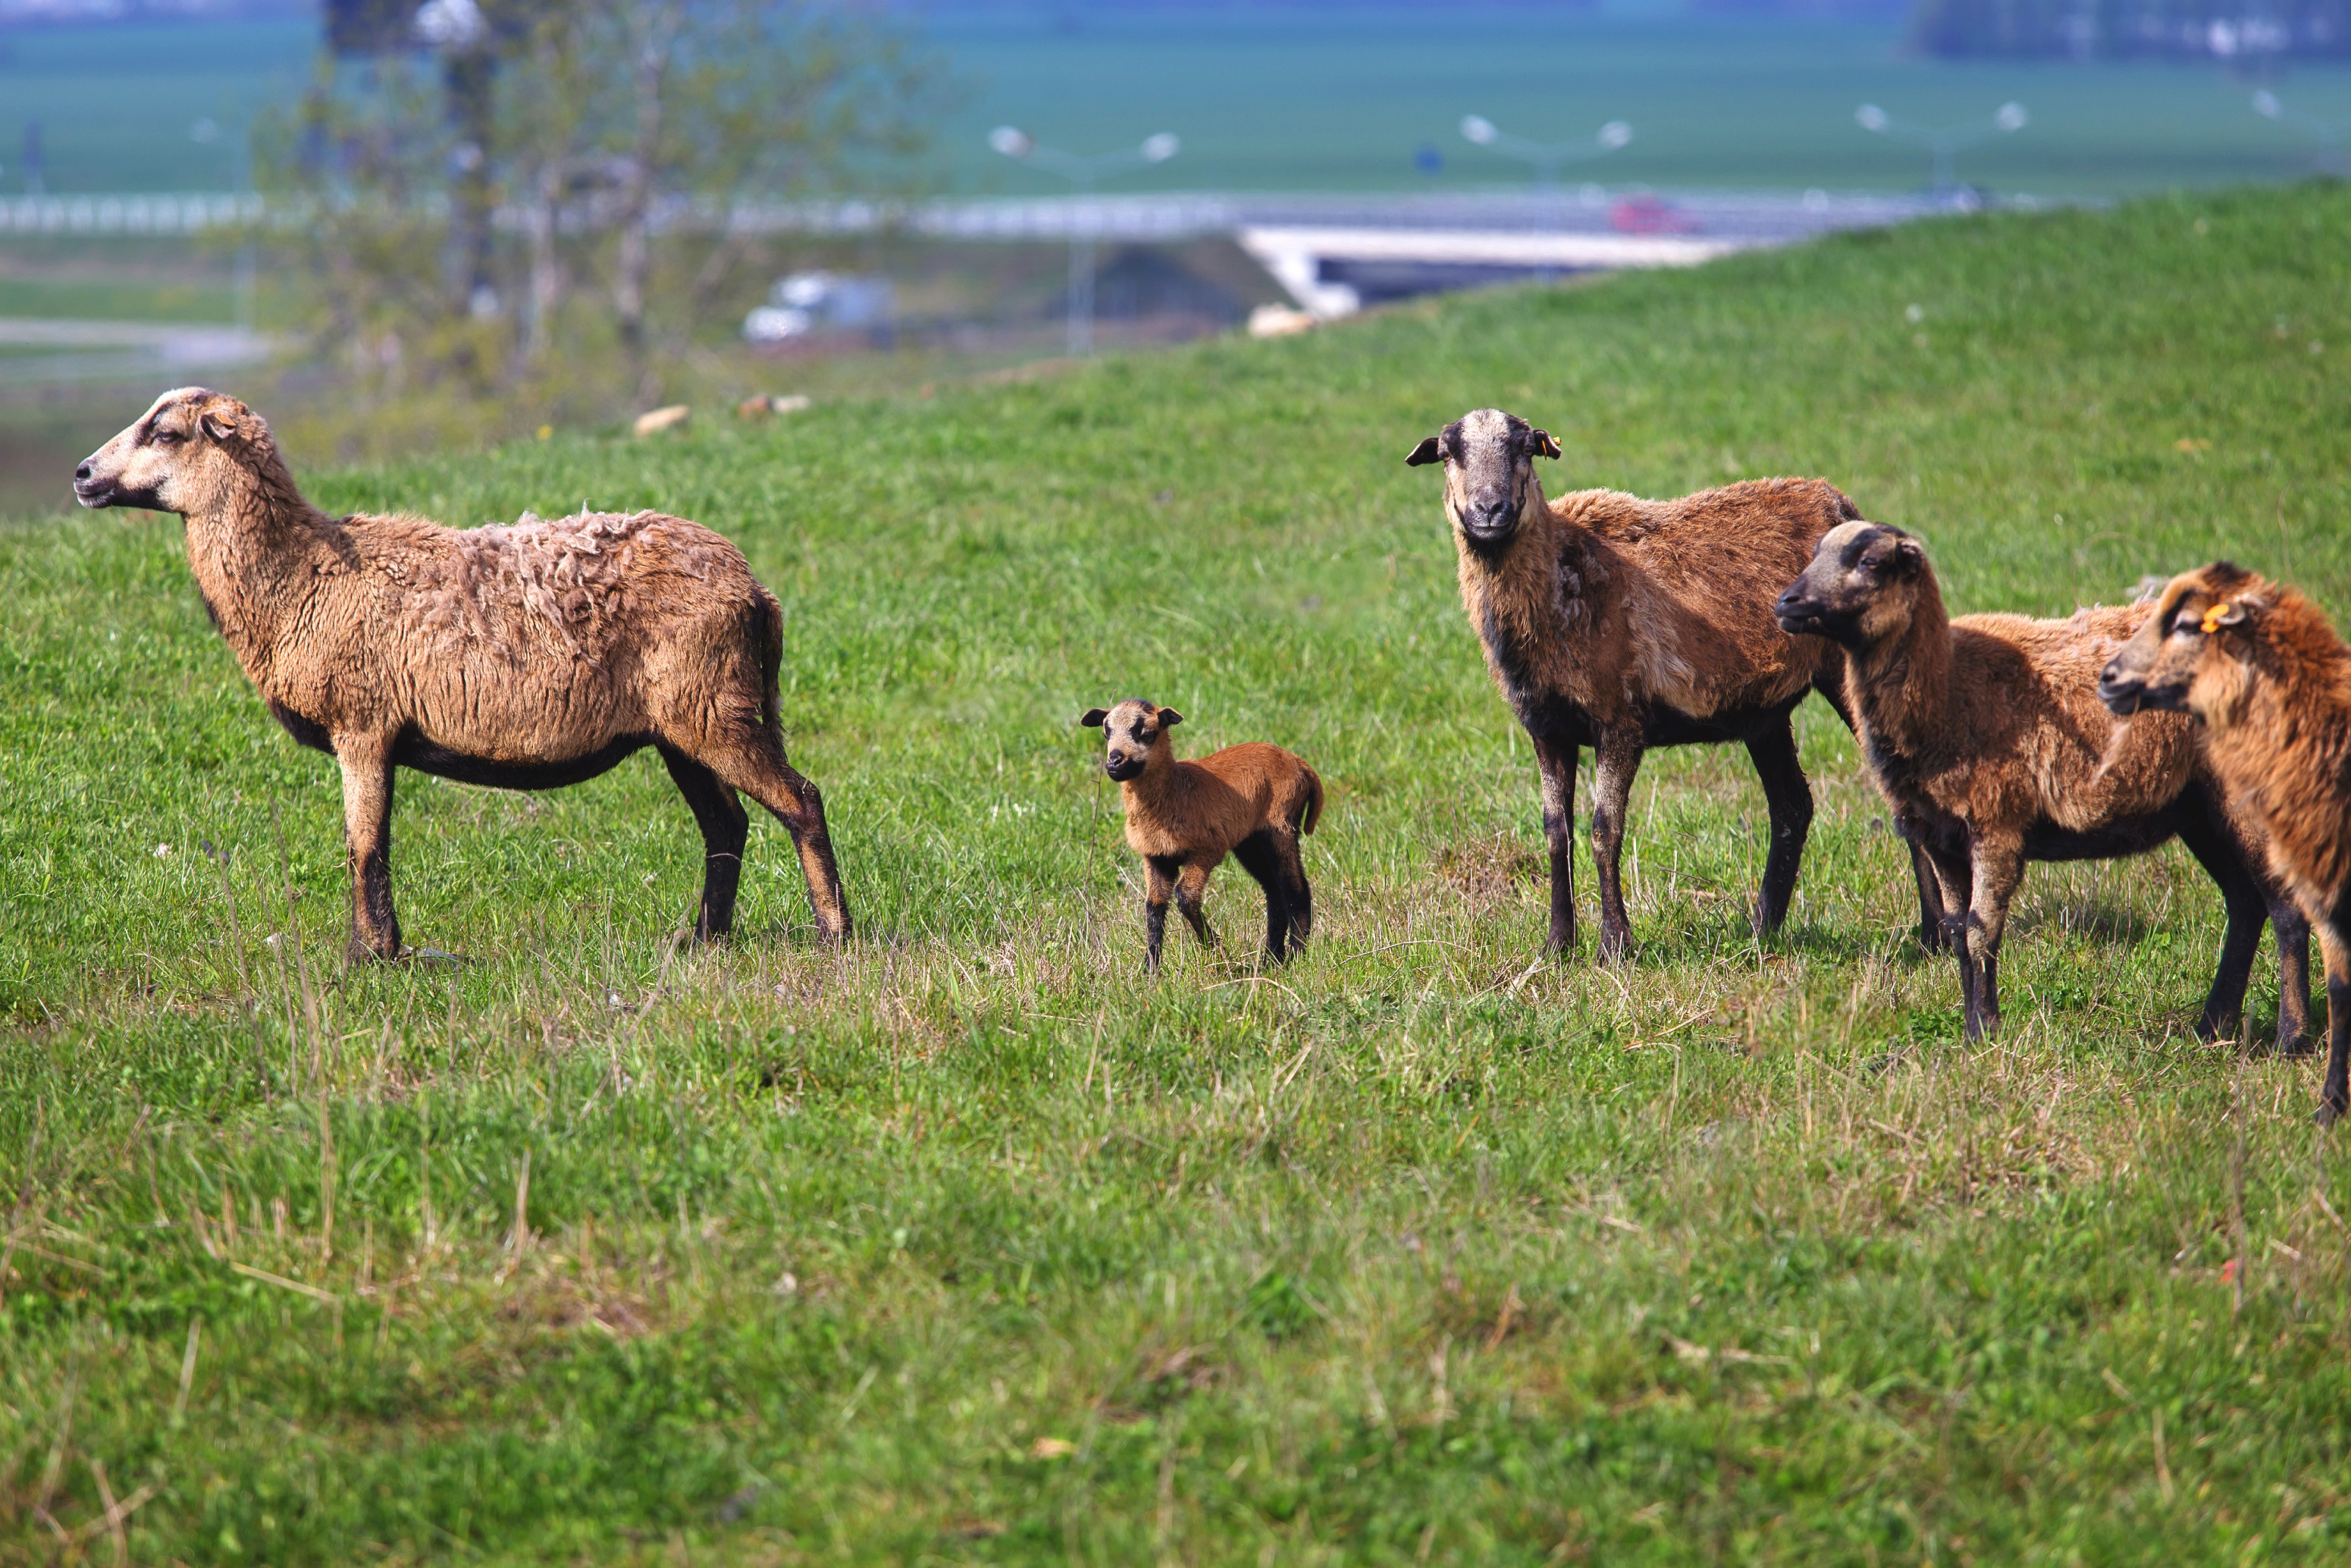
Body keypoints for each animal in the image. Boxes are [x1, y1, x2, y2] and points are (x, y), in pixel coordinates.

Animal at [73, 385, 855, 964]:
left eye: (166, 433)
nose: (81, 475)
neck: (304, 576)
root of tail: (755, 591)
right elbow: (373, 844)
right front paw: (382, 950)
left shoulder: (363, 723)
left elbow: (364, 845)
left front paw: (370, 958)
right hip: (684, 725)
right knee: (727, 824)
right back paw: (701, 942)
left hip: (716, 707)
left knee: (800, 801)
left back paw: (835, 936)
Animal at [1077, 705, 1325, 973]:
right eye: (1106, 732)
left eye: (1147, 734)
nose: (1114, 761)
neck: (1175, 791)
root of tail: (1298, 762)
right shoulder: (1156, 857)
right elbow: (1154, 906)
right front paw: (1150, 970)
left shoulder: (1207, 850)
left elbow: (1185, 896)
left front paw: (1215, 947)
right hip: (1250, 842)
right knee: (1274, 890)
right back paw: (1272, 960)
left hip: (1281, 826)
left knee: (1295, 887)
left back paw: (1296, 957)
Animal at [1401, 404, 1937, 964]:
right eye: (1448, 453)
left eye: (1526, 447)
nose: (1491, 510)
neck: (1560, 581)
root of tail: (1837, 502)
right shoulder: (1546, 727)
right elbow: (1555, 833)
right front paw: (1556, 946)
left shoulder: (1619, 719)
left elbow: (1604, 830)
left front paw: (1613, 946)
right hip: (1764, 713)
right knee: (1792, 805)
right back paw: (1760, 933)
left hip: (1849, 674)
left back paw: (1931, 938)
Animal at [1777, 522, 2313, 1048]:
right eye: (1816, 551)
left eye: (1870, 562)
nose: (1786, 602)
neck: (1948, 687)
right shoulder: (1939, 837)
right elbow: (1958, 934)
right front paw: (1972, 1032)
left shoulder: (1997, 824)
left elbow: (1981, 933)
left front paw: (1985, 1035)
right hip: (2198, 809)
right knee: (2245, 903)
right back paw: (2212, 1028)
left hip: (2243, 792)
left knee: (2286, 909)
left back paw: (2291, 1039)